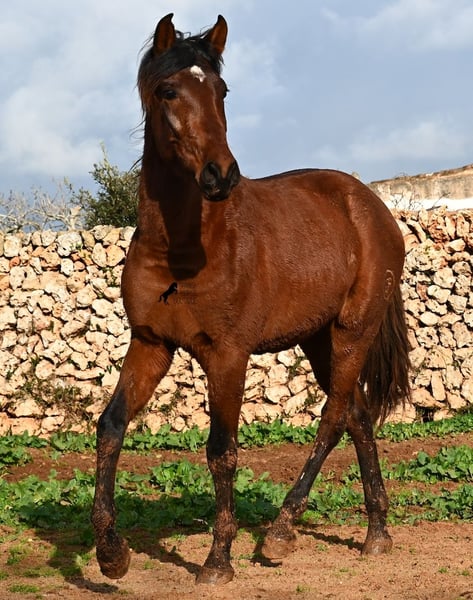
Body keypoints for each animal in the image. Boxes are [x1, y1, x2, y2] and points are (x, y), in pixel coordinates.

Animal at [91, 13, 411, 586]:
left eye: (221, 90)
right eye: (168, 90)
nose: (222, 175)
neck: (183, 247)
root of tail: (371, 205)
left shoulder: (228, 355)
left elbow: (222, 450)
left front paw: (218, 561)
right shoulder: (150, 344)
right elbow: (111, 427)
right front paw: (111, 553)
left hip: (353, 332)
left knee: (334, 418)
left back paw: (281, 532)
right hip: (319, 340)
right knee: (356, 416)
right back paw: (376, 533)